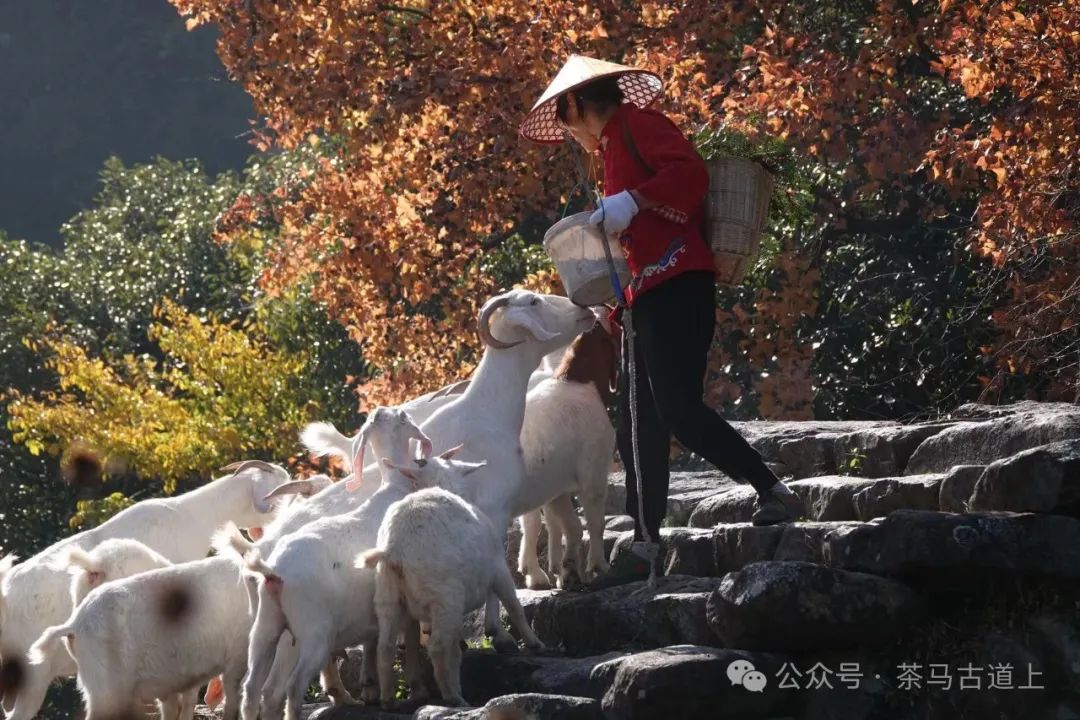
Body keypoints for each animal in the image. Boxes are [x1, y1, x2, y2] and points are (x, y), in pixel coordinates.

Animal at [360, 455, 544, 708]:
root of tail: (393, 549)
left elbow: (448, 649)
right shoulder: (498, 568)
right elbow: (513, 605)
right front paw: (534, 643)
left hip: (388, 597)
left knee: (385, 648)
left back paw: (388, 699)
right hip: (445, 598)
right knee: (437, 648)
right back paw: (452, 696)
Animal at [514, 321, 617, 591]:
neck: (575, 379)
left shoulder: (554, 486)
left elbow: (566, 526)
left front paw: (565, 571)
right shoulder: (593, 475)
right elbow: (594, 523)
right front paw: (597, 566)